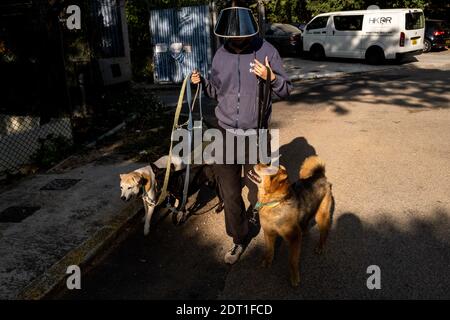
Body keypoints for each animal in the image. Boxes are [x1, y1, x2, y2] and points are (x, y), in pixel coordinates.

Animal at [248, 156, 332, 286]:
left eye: (268, 167)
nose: (257, 161)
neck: (274, 203)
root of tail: (320, 175)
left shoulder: (294, 237)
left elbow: (292, 261)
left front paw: (294, 277)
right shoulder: (269, 232)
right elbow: (269, 249)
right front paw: (268, 261)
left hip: (321, 215)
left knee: (324, 231)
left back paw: (320, 246)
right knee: (305, 223)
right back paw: (305, 232)